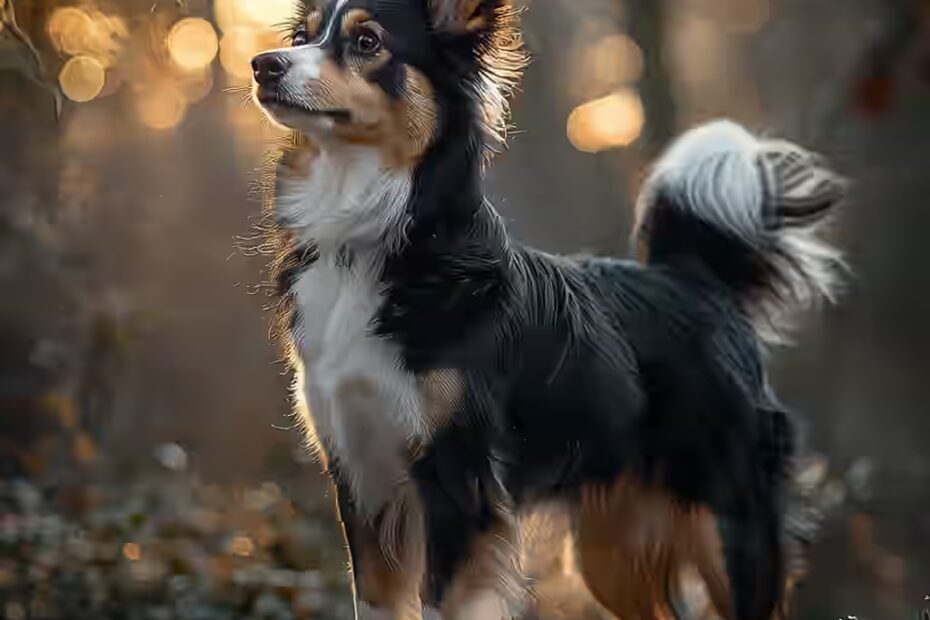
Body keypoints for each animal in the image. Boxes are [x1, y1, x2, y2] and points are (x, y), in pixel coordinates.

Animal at [250, 2, 844, 616]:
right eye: (302, 37)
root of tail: (697, 278)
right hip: (612, 548)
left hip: (730, 523)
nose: (263, 65)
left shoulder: (458, 482)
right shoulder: (360, 475)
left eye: (367, 42)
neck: (373, 237)